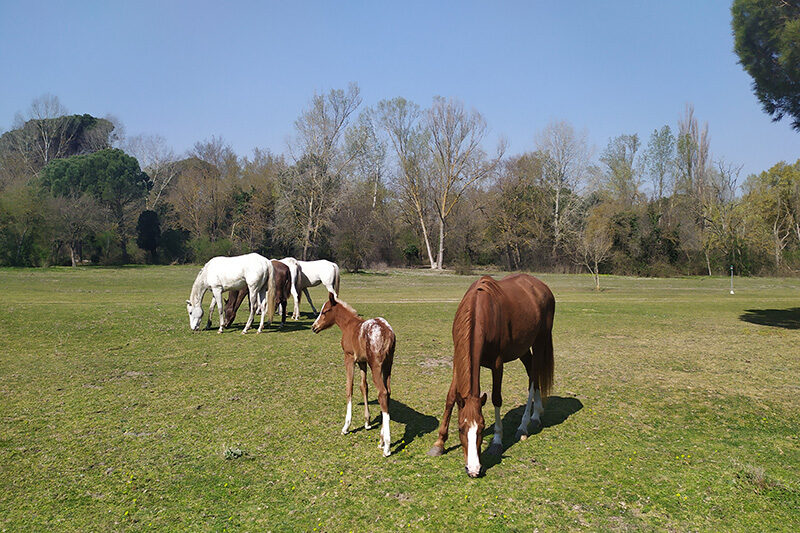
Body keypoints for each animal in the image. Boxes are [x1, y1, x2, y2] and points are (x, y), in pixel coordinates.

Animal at [312, 292, 395, 457]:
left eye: (325, 311)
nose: (314, 327)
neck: (349, 325)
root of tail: (387, 333)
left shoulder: (349, 358)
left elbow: (349, 387)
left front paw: (346, 426)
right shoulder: (362, 362)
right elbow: (364, 386)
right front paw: (367, 422)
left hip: (376, 366)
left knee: (382, 393)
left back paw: (387, 446)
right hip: (388, 365)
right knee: (387, 392)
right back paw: (381, 440)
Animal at [427, 274, 555, 478]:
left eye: (481, 427)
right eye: (460, 428)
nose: (473, 470)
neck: (480, 312)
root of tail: (542, 287)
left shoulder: (497, 364)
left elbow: (496, 399)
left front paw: (496, 441)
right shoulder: (457, 362)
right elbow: (450, 398)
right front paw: (439, 443)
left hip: (540, 341)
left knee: (534, 377)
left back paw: (526, 424)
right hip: (523, 349)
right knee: (531, 374)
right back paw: (538, 413)